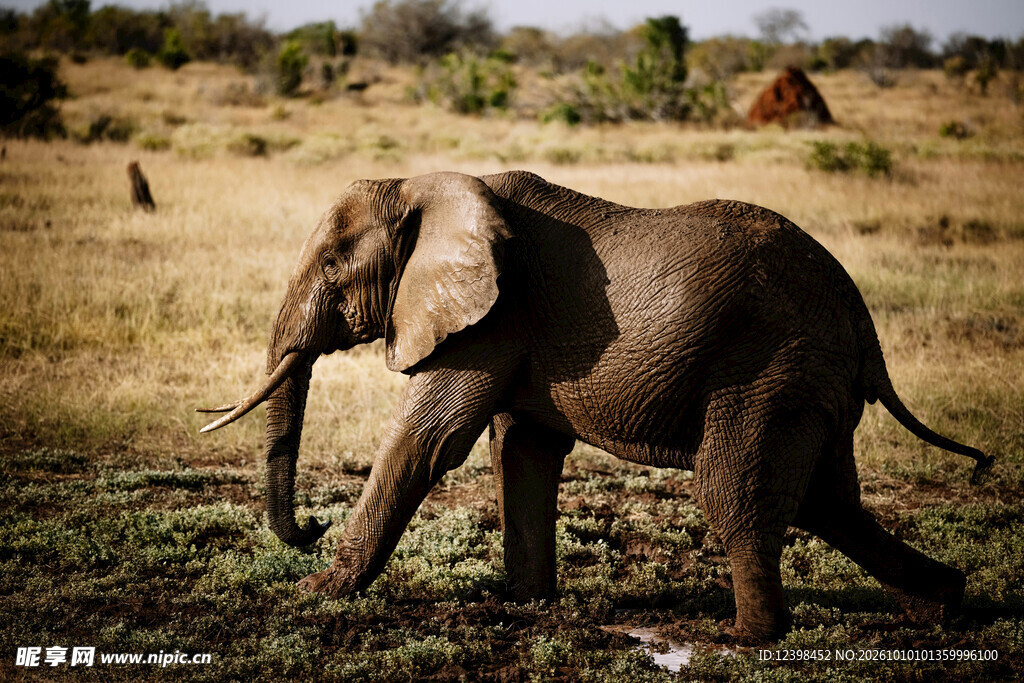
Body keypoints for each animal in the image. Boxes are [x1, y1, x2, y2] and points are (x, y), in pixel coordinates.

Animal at [198, 170, 993, 641]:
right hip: (811, 381)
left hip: (771, 373)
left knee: (735, 491)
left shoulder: (492, 319)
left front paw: (315, 591)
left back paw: (746, 638)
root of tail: (861, 317)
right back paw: (944, 605)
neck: (429, 184)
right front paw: (524, 606)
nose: (307, 528)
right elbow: (521, 448)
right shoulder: (511, 329)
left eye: (334, 267)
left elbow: (427, 439)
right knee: (831, 503)